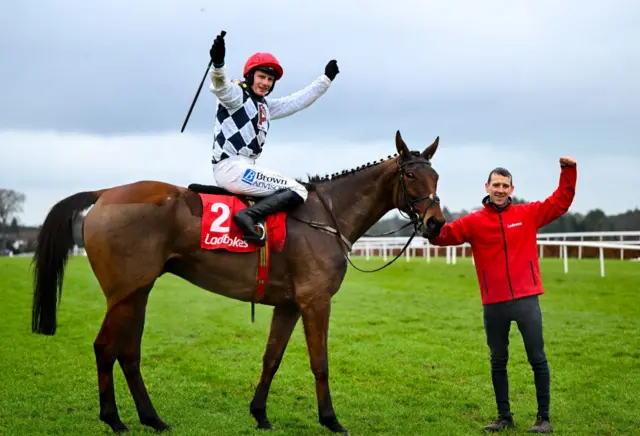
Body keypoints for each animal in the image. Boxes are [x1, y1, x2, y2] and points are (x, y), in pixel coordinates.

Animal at [30, 131, 448, 434]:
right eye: (411, 175)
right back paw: (114, 419)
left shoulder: (289, 304)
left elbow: (272, 358)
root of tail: (105, 194)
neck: (326, 215)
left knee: (128, 352)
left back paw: (152, 418)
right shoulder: (316, 301)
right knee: (105, 348)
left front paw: (260, 413)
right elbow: (320, 362)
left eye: (436, 176)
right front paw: (331, 420)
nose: (435, 223)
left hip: (138, 293)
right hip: (123, 293)